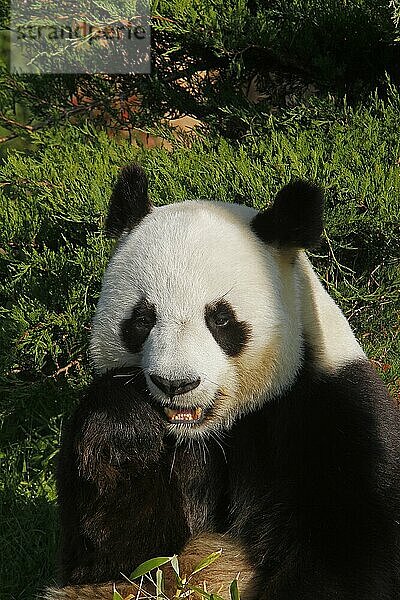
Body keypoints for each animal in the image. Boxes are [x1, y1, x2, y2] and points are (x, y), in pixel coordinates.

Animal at [48, 164, 400, 600]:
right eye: (142, 319)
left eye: (220, 319)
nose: (175, 383)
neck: (211, 431)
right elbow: (123, 559)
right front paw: (125, 430)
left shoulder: (330, 415)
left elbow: (348, 553)